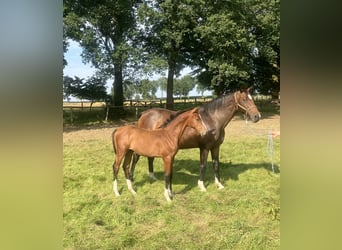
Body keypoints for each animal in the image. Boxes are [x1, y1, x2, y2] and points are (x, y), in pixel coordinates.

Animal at [130, 88, 260, 191]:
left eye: (252, 98)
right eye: (244, 99)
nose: (257, 116)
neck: (212, 119)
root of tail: (144, 113)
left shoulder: (216, 147)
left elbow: (216, 165)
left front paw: (219, 185)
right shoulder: (204, 148)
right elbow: (203, 166)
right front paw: (202, 186)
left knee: (150, 158)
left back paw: (152, 177)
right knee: (135, 158)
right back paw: (131, 180)